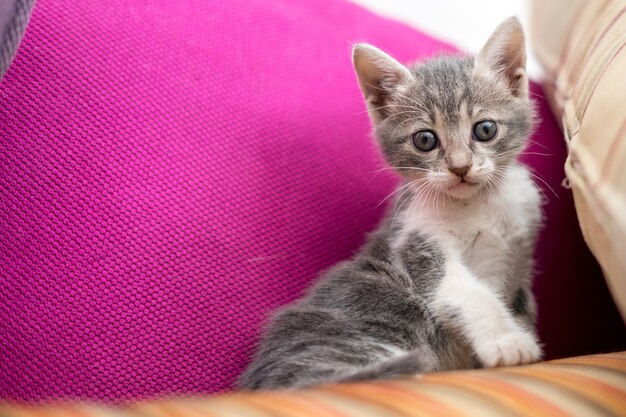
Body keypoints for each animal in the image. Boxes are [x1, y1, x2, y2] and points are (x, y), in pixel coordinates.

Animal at [239, 17, 540, 390]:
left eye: (485, 129)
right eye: (425, 139)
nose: (460, 167)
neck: (478, 204)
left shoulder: (521, 254)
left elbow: (523, 305)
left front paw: (520, 332)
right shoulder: (417, 245)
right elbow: (466, 292)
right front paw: (508, 342)